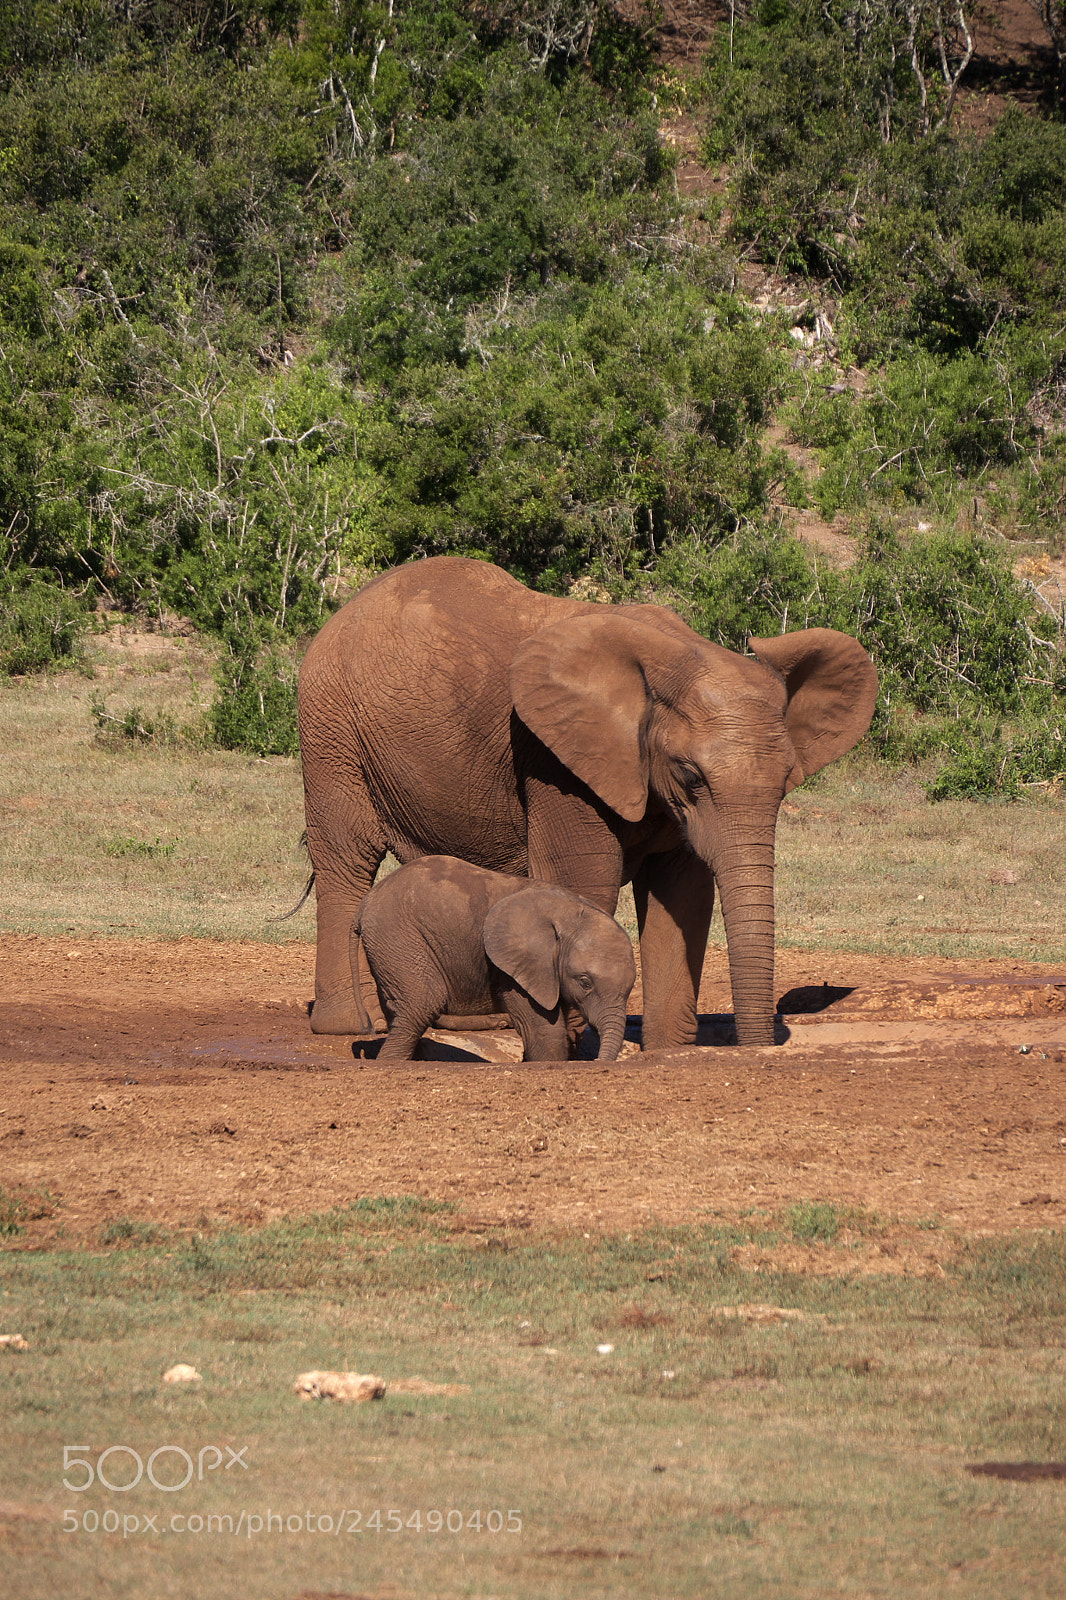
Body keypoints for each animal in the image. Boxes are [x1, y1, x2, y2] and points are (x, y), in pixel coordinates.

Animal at [353, 855, 637, 1061]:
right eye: (585, 982)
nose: (597, 1061)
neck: (571, 913)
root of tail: (367, 901)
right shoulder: (516, 971)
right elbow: (546, 1030)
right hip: (398, 935)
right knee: (420, 1005)